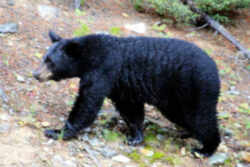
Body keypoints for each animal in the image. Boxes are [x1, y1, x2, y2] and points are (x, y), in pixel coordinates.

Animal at [33, 31, 221, 157]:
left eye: (50, 62)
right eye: (44, 57)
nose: (36, 74)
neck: (88, 57)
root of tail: (215, 68)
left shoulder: (103, 71)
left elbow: (87, 104)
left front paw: (57, 131)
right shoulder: (121, 86)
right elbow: (130, 109)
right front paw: (135, 137)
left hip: (195, 87)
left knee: (200, 117)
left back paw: (205, 149)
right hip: (173, 99)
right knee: (181, 116)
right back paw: (186, 133)